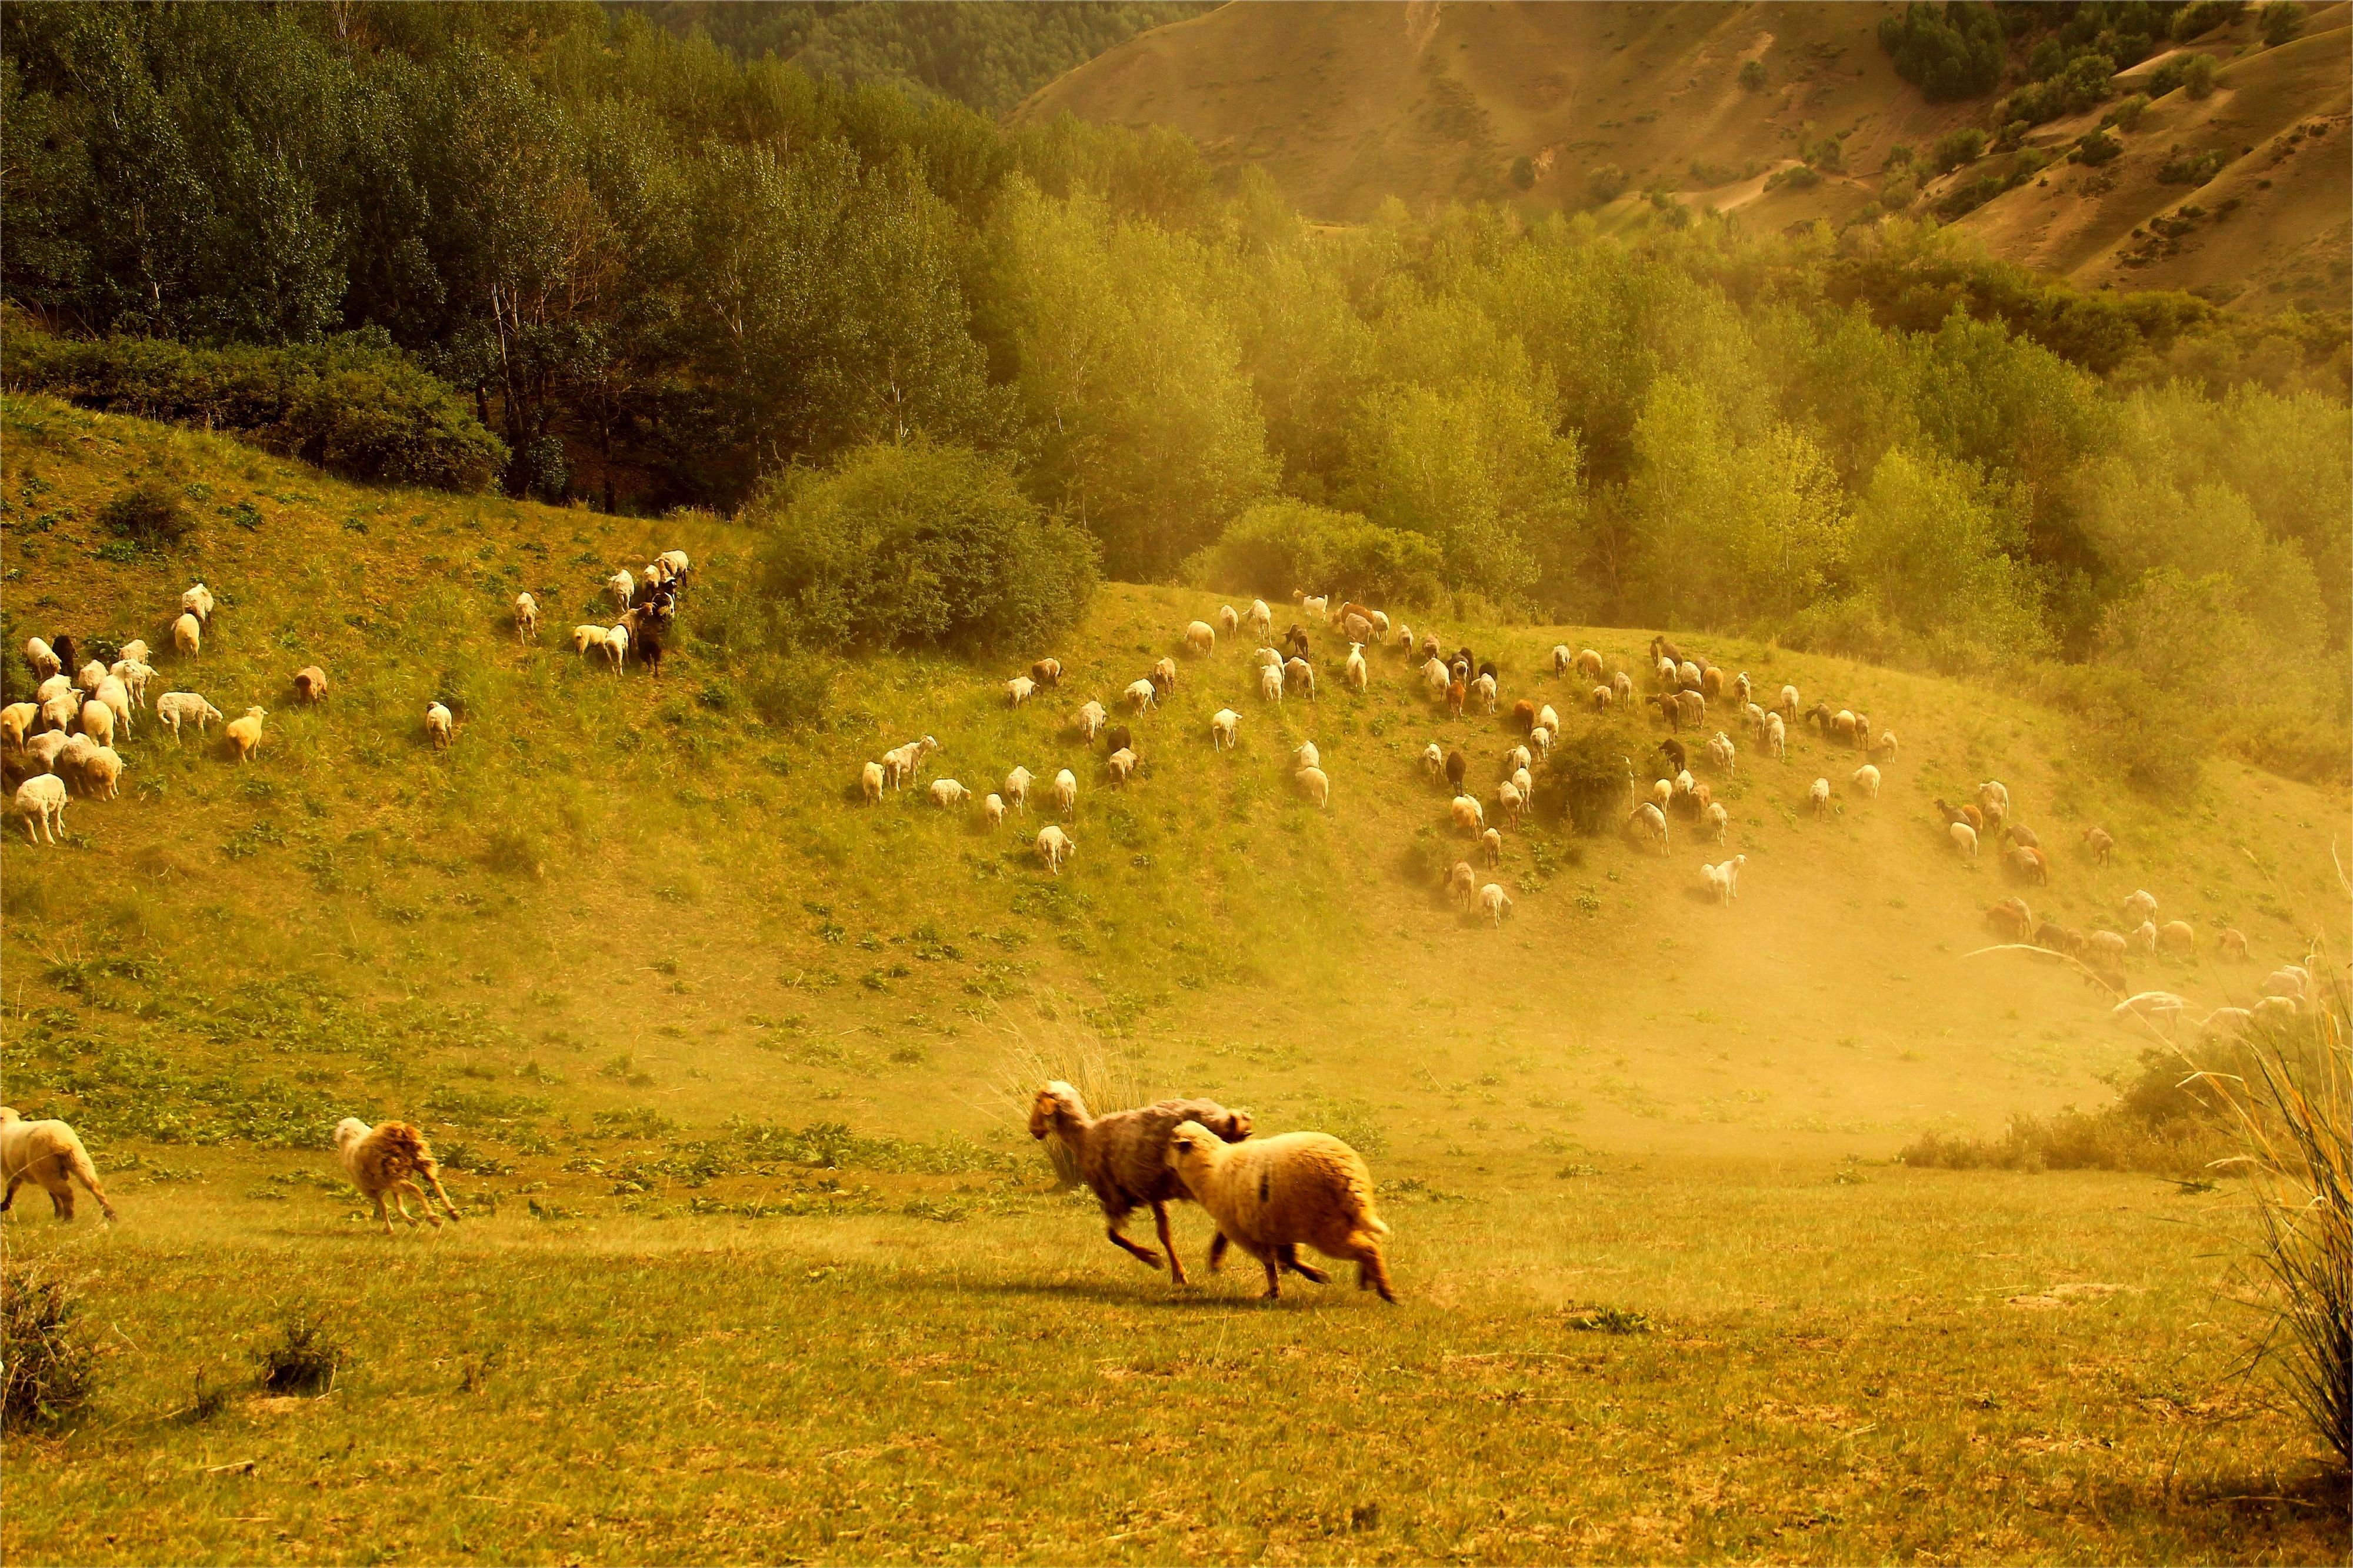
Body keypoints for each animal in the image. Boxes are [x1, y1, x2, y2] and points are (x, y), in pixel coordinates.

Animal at [0, 1106, 115, 1215]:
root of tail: (61, 1141)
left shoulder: (11, 1173)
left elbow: (11, 1191)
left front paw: (5, 1206)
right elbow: (52, 1193)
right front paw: (58, 1213)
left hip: (45, 1169)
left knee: (67, 1193)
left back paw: (68, 1219)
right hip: (79, 1161)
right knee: (95, 1187)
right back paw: (111, 1215)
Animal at [334, 1111, 461, 1233]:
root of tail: (400, 1132)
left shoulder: (373, 1189)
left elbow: (384, 1207)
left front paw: (390, 1229)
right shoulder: (389, 1185)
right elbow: (398, 1205)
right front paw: (411, 1222)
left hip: (394, 1170)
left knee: (417, 1189)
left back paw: (434, 1218)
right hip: (418, 1160)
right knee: (434, 1182)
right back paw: (453, 1212)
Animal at [1026, 1083, 1252, 1290]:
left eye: (1038, 1100)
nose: (1033, 1130)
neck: (1084, 1138)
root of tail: (1229, 1120)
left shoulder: (1115, 1197)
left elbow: (1114, 1236)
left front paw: (1152, 1259)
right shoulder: (1153, 1192)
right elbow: (1164, 1234)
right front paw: (1178, 1273)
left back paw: (1216, 1256)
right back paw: (1217, 1256)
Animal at [1162, 1116, 1384, 1299]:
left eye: (1172, 1141)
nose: (1164, 1164)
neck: (1209, 1167)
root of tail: (1349, 1174)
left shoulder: (1245, 1233)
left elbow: (1271, 1261)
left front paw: (1280, 1288)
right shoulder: (1277, 1225)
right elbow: (1286, 1257)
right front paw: (1310, 1276)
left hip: (1326, 1227)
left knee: (1367, 1247)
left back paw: (1384, 1288)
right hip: (1346, 1219)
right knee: (1372, 1240)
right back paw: (1369, 1279)